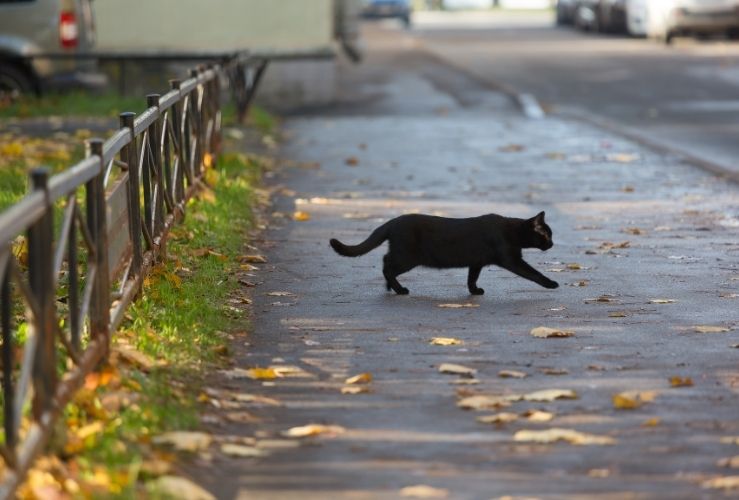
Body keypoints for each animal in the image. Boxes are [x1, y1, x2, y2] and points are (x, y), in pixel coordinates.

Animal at [330, 212, 560, 296]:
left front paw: (474, 291)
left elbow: (471, 278)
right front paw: (551, 283)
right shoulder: (511, 259)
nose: (552, 244)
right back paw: (399, 289)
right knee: (386, 264)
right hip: (407, 257)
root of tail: (393, 221)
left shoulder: (476, 261)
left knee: (386, 263)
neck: (512, 231)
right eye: (547, 235)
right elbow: (533, 273)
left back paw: (390, 287)